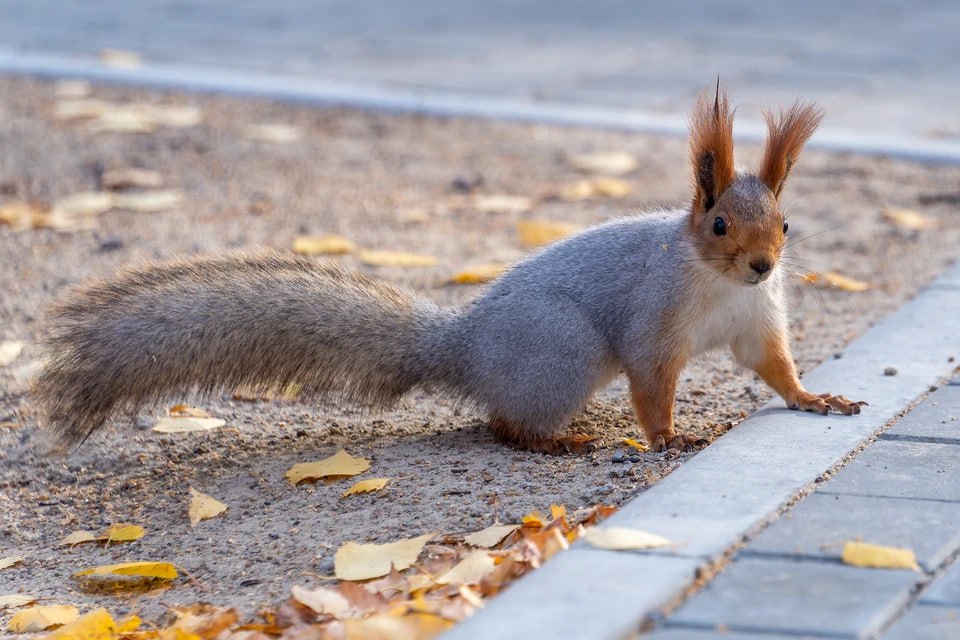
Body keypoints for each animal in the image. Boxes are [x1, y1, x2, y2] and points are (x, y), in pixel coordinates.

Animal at [37, 89, 868, 456]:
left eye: (786, 225)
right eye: (719, 225)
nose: (763, 265)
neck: (721, 286)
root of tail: (462, 346)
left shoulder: (757, 320)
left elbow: (775, 367)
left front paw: (815, 397)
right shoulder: (654, 321)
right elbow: (653, 383)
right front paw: (669, 437)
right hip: (563, 351)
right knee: (501, 424)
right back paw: (558, 442)